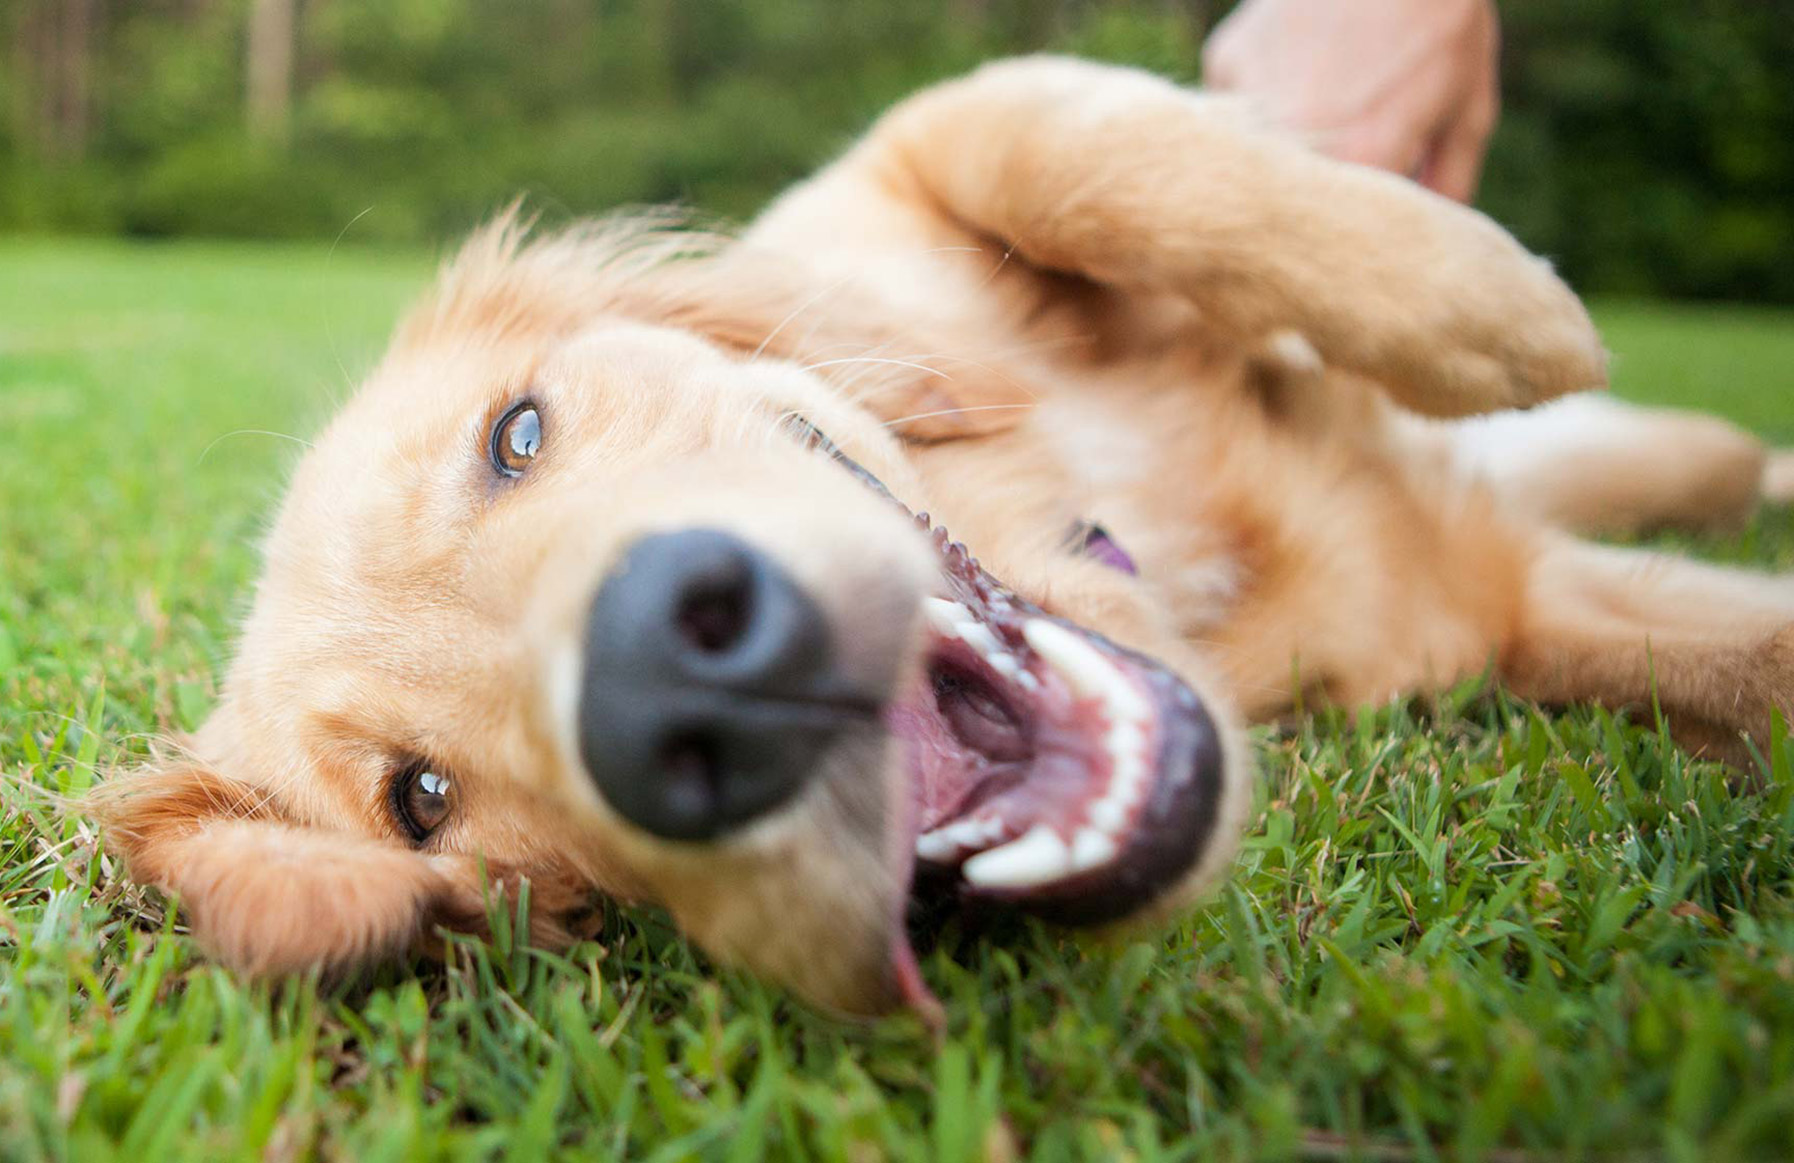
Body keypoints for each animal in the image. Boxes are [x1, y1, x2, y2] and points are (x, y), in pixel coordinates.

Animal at [94, 56, 1794, 1019]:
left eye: (515, 435)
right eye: (422, 800)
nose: (676, 681)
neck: (1136, 542)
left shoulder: (912, 159)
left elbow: (1067, 141)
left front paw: (1481, 302)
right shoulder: (1495, 607)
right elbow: (1742, 661)